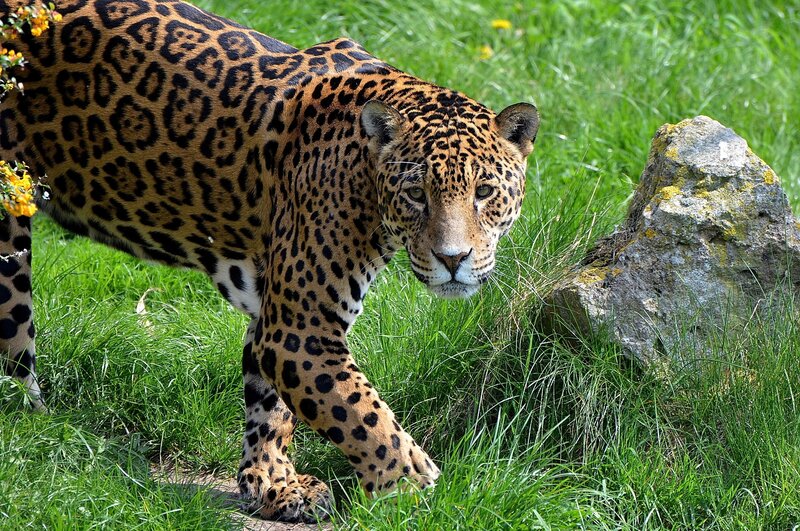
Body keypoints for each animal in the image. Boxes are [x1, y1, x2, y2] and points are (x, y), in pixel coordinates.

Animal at [0, 0, 539, 522]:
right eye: (415, 194)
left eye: (484, 192)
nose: (454, 258)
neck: (362, 177)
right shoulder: (300, 330)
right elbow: (363, 415)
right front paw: (413, 492)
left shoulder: (274, 316)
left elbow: (271, 407)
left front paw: (273, 486)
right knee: (14, 337)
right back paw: (33, 428)